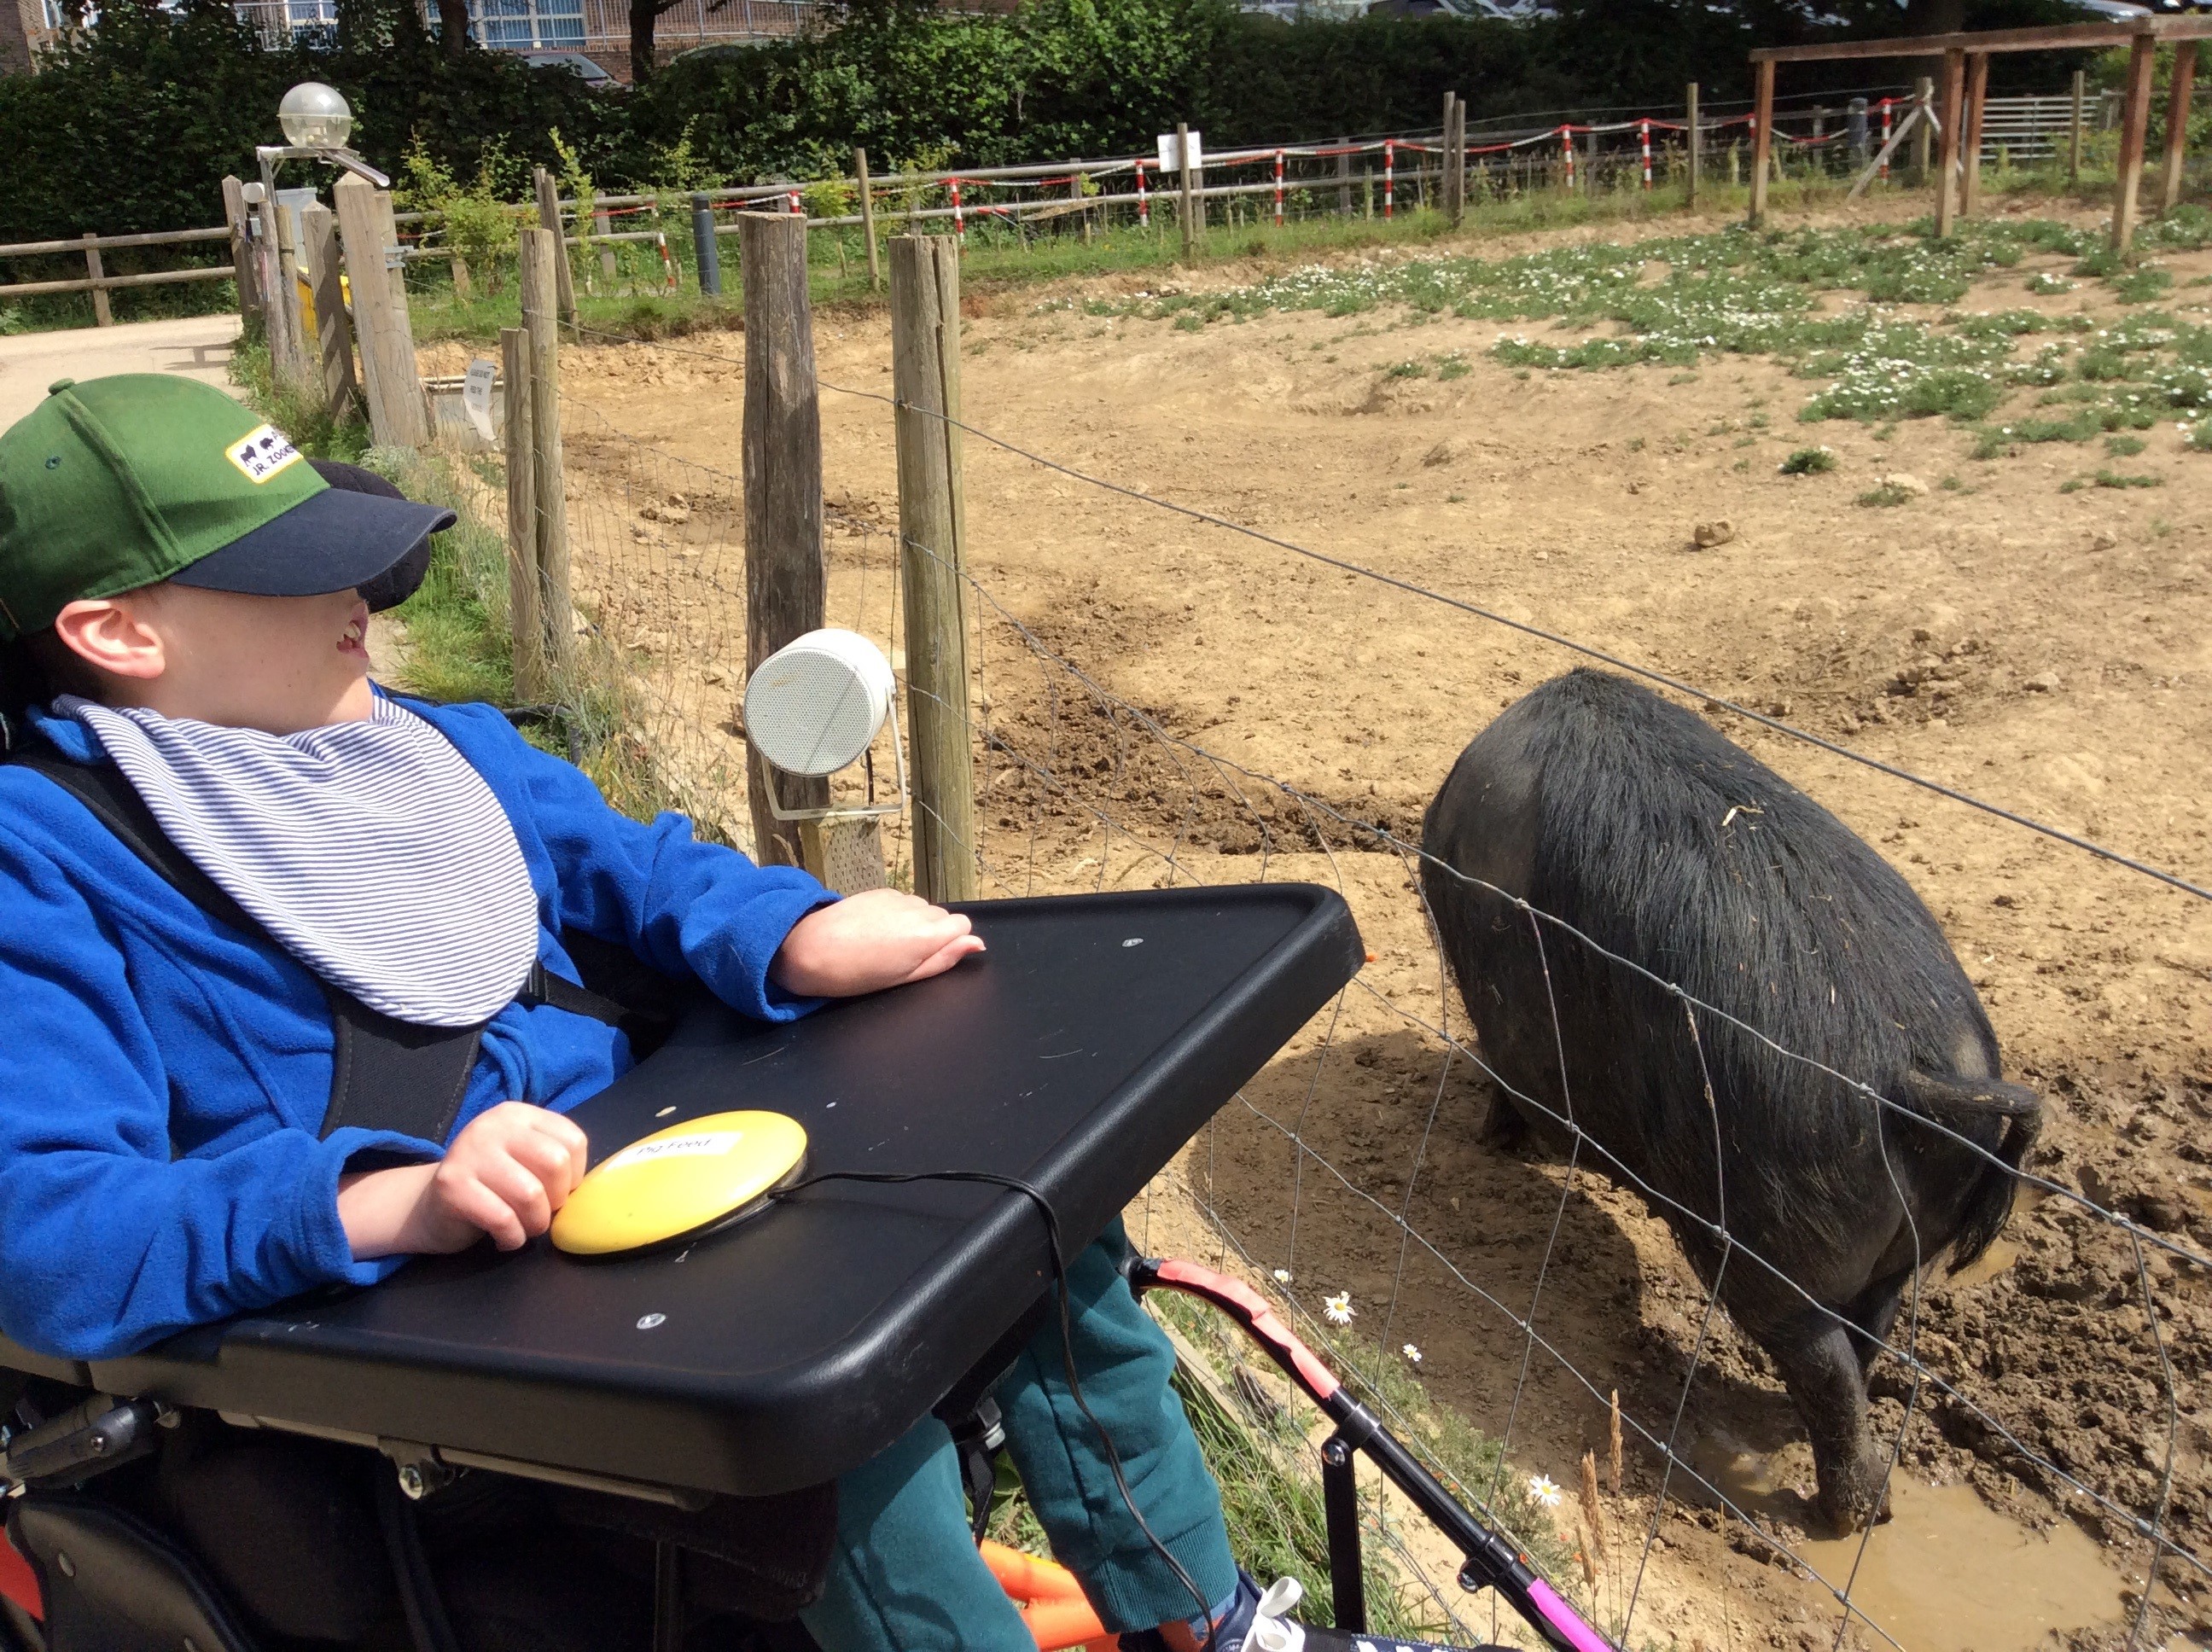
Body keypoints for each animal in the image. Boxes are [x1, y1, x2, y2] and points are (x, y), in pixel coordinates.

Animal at [1424, 672, 2026, 1539]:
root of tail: (1913, 1076)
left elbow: (1506, 1081)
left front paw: (1494, 1142)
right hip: (1900, 1248)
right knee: (1865, 1337)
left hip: (1767, 1228)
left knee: (1819, 1358)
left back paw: (1847, 1516)